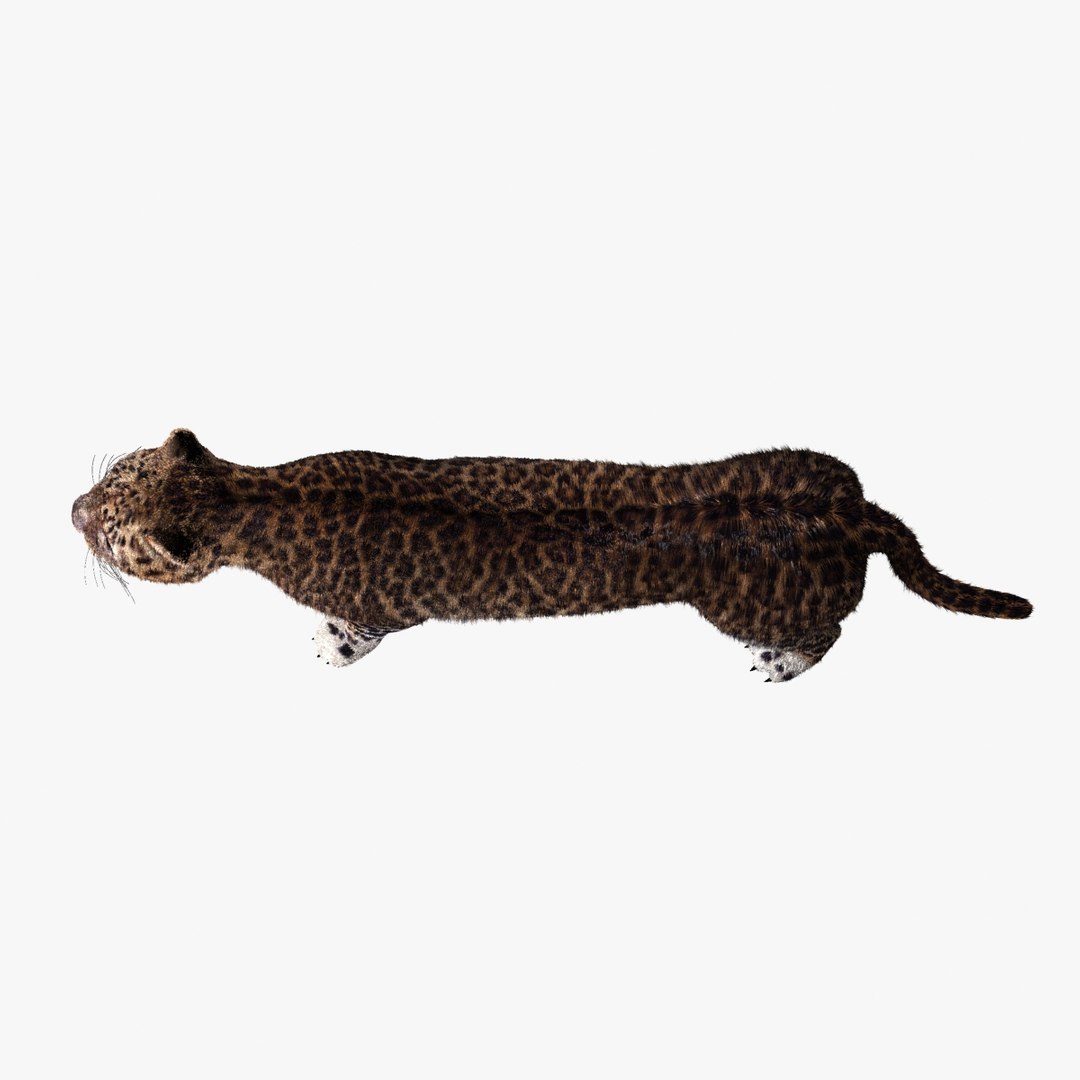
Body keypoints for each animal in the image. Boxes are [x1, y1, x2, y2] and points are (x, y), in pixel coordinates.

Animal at [71, 429, 1032, 682]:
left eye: (113, 533)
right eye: (115, 472)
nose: (72, 508)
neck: (251, 499)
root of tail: (855, 507)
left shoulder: (385, 606)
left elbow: (360, 633)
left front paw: (329, 648)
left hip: (753, 604)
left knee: (828, 633)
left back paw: (778, 664)